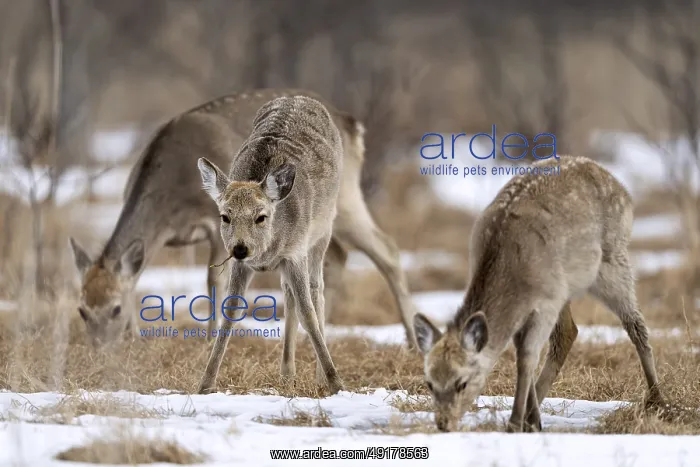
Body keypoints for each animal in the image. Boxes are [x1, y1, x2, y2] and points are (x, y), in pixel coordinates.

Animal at [68, 88, 419, 350]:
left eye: (115, 308)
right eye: (82, 310)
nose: (99, 349)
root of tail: (352, 124)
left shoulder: (216, 224)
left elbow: (213, 280)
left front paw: (210, 339)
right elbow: (139, 277)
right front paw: (136, 339)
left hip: (343, 199)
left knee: (387, 249)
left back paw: (413, 342)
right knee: (336, 257)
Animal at [196, 95, 346, 394]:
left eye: (261, 216)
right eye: (225, 216)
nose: (240, 248)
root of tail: (299, 97)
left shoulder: (296, 251)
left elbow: (308, 313)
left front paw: (336, 383)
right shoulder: (244, 265)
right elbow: (230, 311)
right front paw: (205, 384)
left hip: (323, 231)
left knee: (316, 290)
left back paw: (318, 377)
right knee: (288, 294)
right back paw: (287, 372)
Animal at [412, 155, 665, 433]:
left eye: (462, 383)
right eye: (429, 383)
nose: (443, 424)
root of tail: (623, 190)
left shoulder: (547, 301)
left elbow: (526, 357)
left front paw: (515, 423)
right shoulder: (534, 303)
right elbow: (523, 351)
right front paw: (530, 419)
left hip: (612, 262)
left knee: (636, 324)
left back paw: (658, 401)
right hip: (567, 286)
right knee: (569, 332)